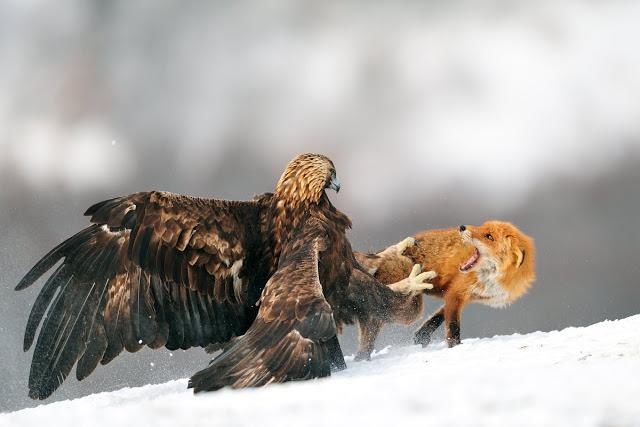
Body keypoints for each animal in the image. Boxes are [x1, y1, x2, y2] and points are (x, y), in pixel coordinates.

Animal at [353, 220, 535, 359]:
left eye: (489, 236)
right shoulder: (457, 292)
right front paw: (455, 347)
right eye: (482, 227)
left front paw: (422, 336)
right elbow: (453, 327)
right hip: (411, 309)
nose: (462, 227)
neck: (493, 279)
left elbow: (437, 318)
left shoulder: (463, 295)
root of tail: (378, 254)